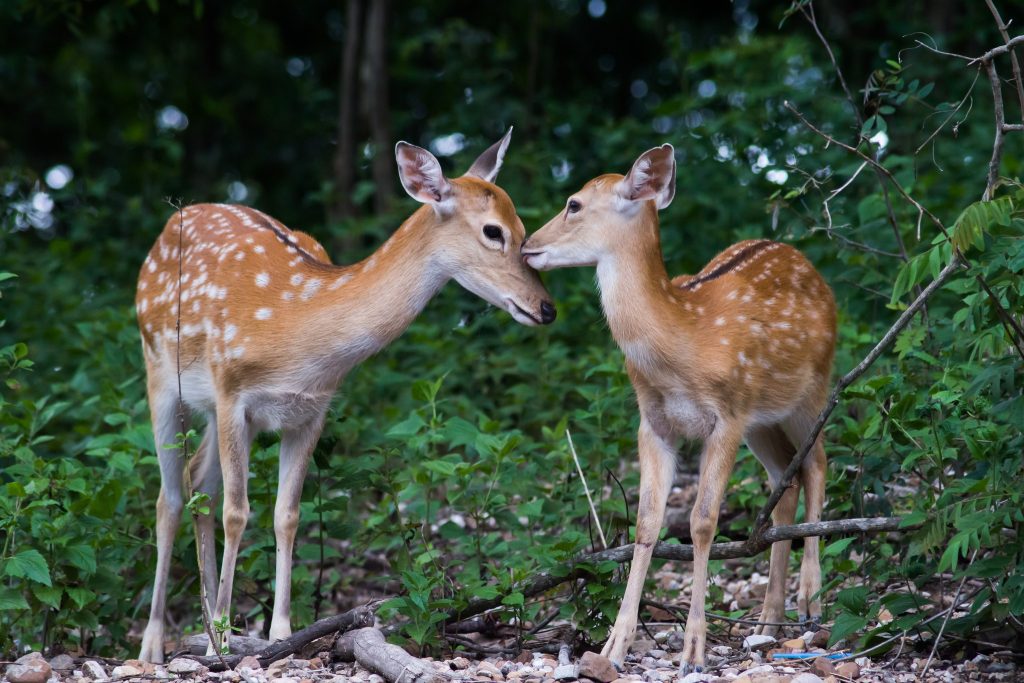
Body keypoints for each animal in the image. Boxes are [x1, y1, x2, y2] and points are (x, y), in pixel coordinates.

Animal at [137, 129, 557, 663]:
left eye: (524, 228)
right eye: (493, 231)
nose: (547, 308)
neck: (297, 334)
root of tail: (171, 222)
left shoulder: (311, 409)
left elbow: (287, 515)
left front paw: (280, 635)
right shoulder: (232, 391)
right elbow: (238, 512)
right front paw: (224, 643)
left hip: (212, 411)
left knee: (199, 483)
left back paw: (206, 623)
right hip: (160, 373)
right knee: (170, 498)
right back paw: (156, 642)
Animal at [524, 144, 835, 671]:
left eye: (573, 204)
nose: (527, 245)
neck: (682, 341)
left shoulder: (727, 415)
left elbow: (702, 522)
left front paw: (694, 648)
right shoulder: (654, 422)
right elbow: (647, 523)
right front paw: (614, 645)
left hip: (810, 390)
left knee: (816, 462)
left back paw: (810, 599)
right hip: (762, 421)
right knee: (783, 482)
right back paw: (769, 619)